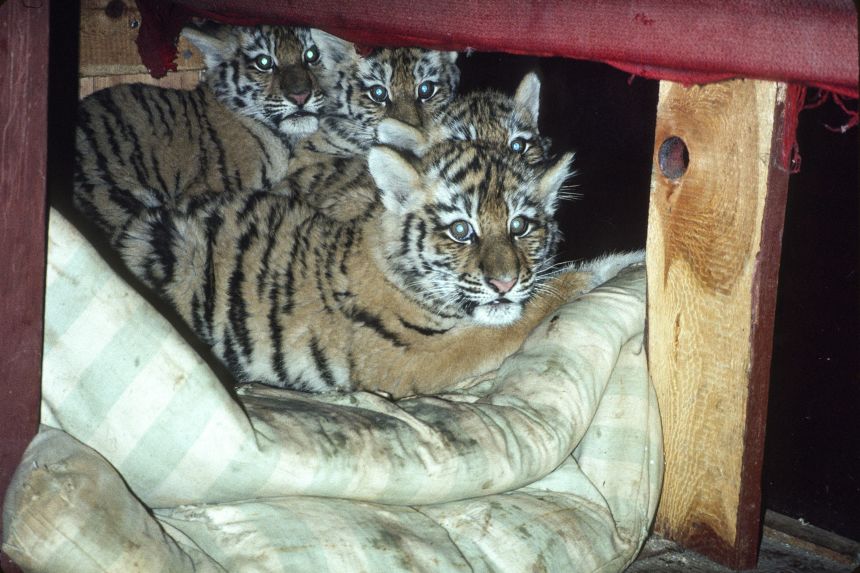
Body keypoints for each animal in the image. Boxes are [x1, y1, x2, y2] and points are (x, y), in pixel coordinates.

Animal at [103, 138, 600, 397]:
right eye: (462, 230)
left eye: (520, 226)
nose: (504, 282)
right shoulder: (409, 360)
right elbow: (501, 330)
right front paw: (592, 272)